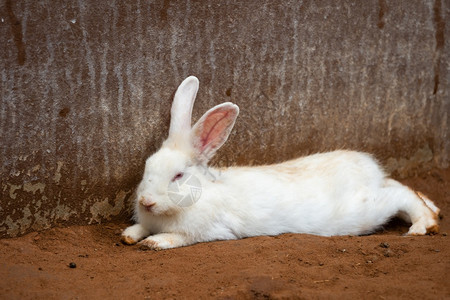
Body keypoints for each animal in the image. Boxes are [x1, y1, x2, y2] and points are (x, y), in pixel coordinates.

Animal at [119, 76, 440, 250]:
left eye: (178, 175)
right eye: (147, 168)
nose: (146, 202)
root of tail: (368, 168)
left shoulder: (209, 230)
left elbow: (176, 237)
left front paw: (153, 243)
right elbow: (140, 229)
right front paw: (129, 236)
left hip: (365, 210)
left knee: (401, 195)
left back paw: (424, 224)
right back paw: (433, 208)